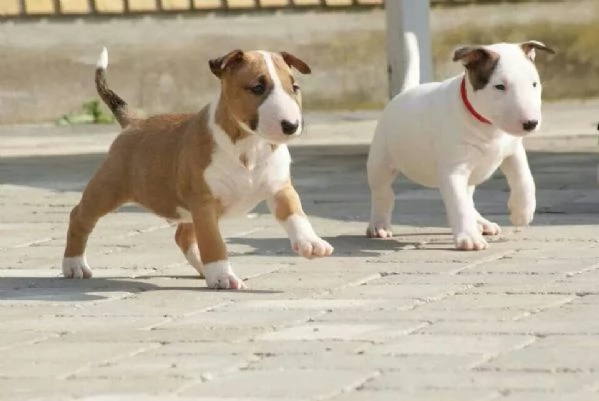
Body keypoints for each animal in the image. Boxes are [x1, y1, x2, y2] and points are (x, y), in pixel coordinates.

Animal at [63, 47, 336, 288]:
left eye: (295, 87)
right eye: (258, 87)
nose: (292, 125)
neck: (250, 145)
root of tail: (135, 122)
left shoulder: (280, 188)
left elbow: (296, 214)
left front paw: (311, 243)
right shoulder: (204, 204)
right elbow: (213, 243)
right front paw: (223, 277)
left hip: (184, 207)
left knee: (183, 236)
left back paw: (204, 269)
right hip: (108, 188)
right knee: (80, 216)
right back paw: (74, 265)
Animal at [368, 36, 556, 252]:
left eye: (534, 84)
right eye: (499, 86)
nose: (531, 123)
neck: (488, 126)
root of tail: (405, 92)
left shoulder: (513, 151)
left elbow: (525, 179)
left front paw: (521, 213)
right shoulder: (454, 170)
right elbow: (458, 204)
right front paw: (469, 239)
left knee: (469, 197)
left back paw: (482, 224)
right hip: (381, 161)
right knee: (383, 192)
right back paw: (379, 225)